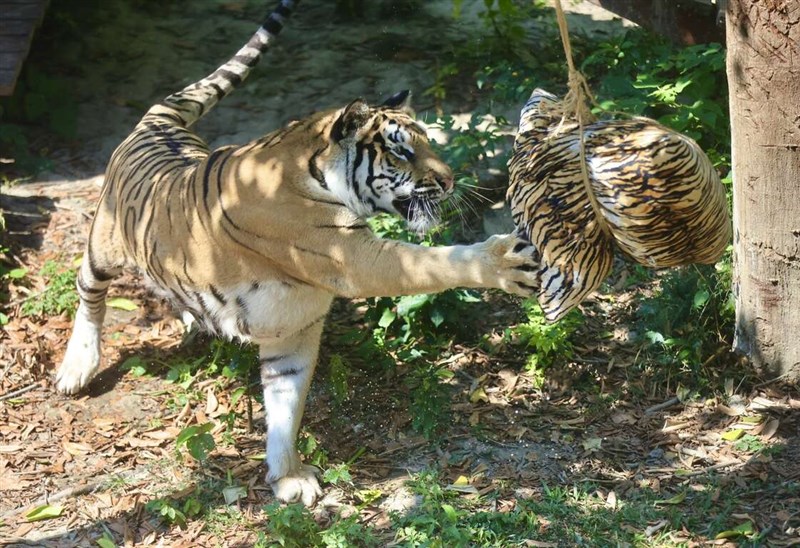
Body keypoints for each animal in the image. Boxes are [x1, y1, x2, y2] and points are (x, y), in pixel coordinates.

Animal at [55, 0, 541, 506]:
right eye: (402, 152)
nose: (448, 181)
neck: (312, 172)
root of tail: (155, 122)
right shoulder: (352, 257)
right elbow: (433, 262)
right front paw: (504, 262)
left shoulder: (293, 328)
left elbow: (287, 406)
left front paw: (287, 477)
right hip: (103, 247)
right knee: (89, 294)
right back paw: (77, 367)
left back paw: (193, 320)